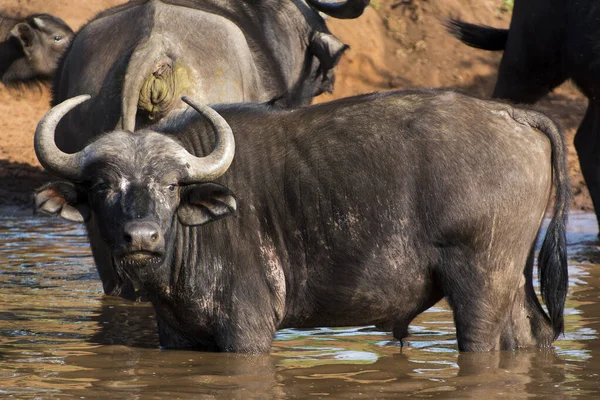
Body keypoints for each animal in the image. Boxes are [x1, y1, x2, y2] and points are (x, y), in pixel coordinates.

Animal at [35, 89, 568, 352]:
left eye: (170, 186)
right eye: (102, 187)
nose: (141, 237)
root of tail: (513, 115)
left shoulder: (247, 331)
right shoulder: (176, 335)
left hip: (480, 283)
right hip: (511, 282)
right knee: (532, 336)